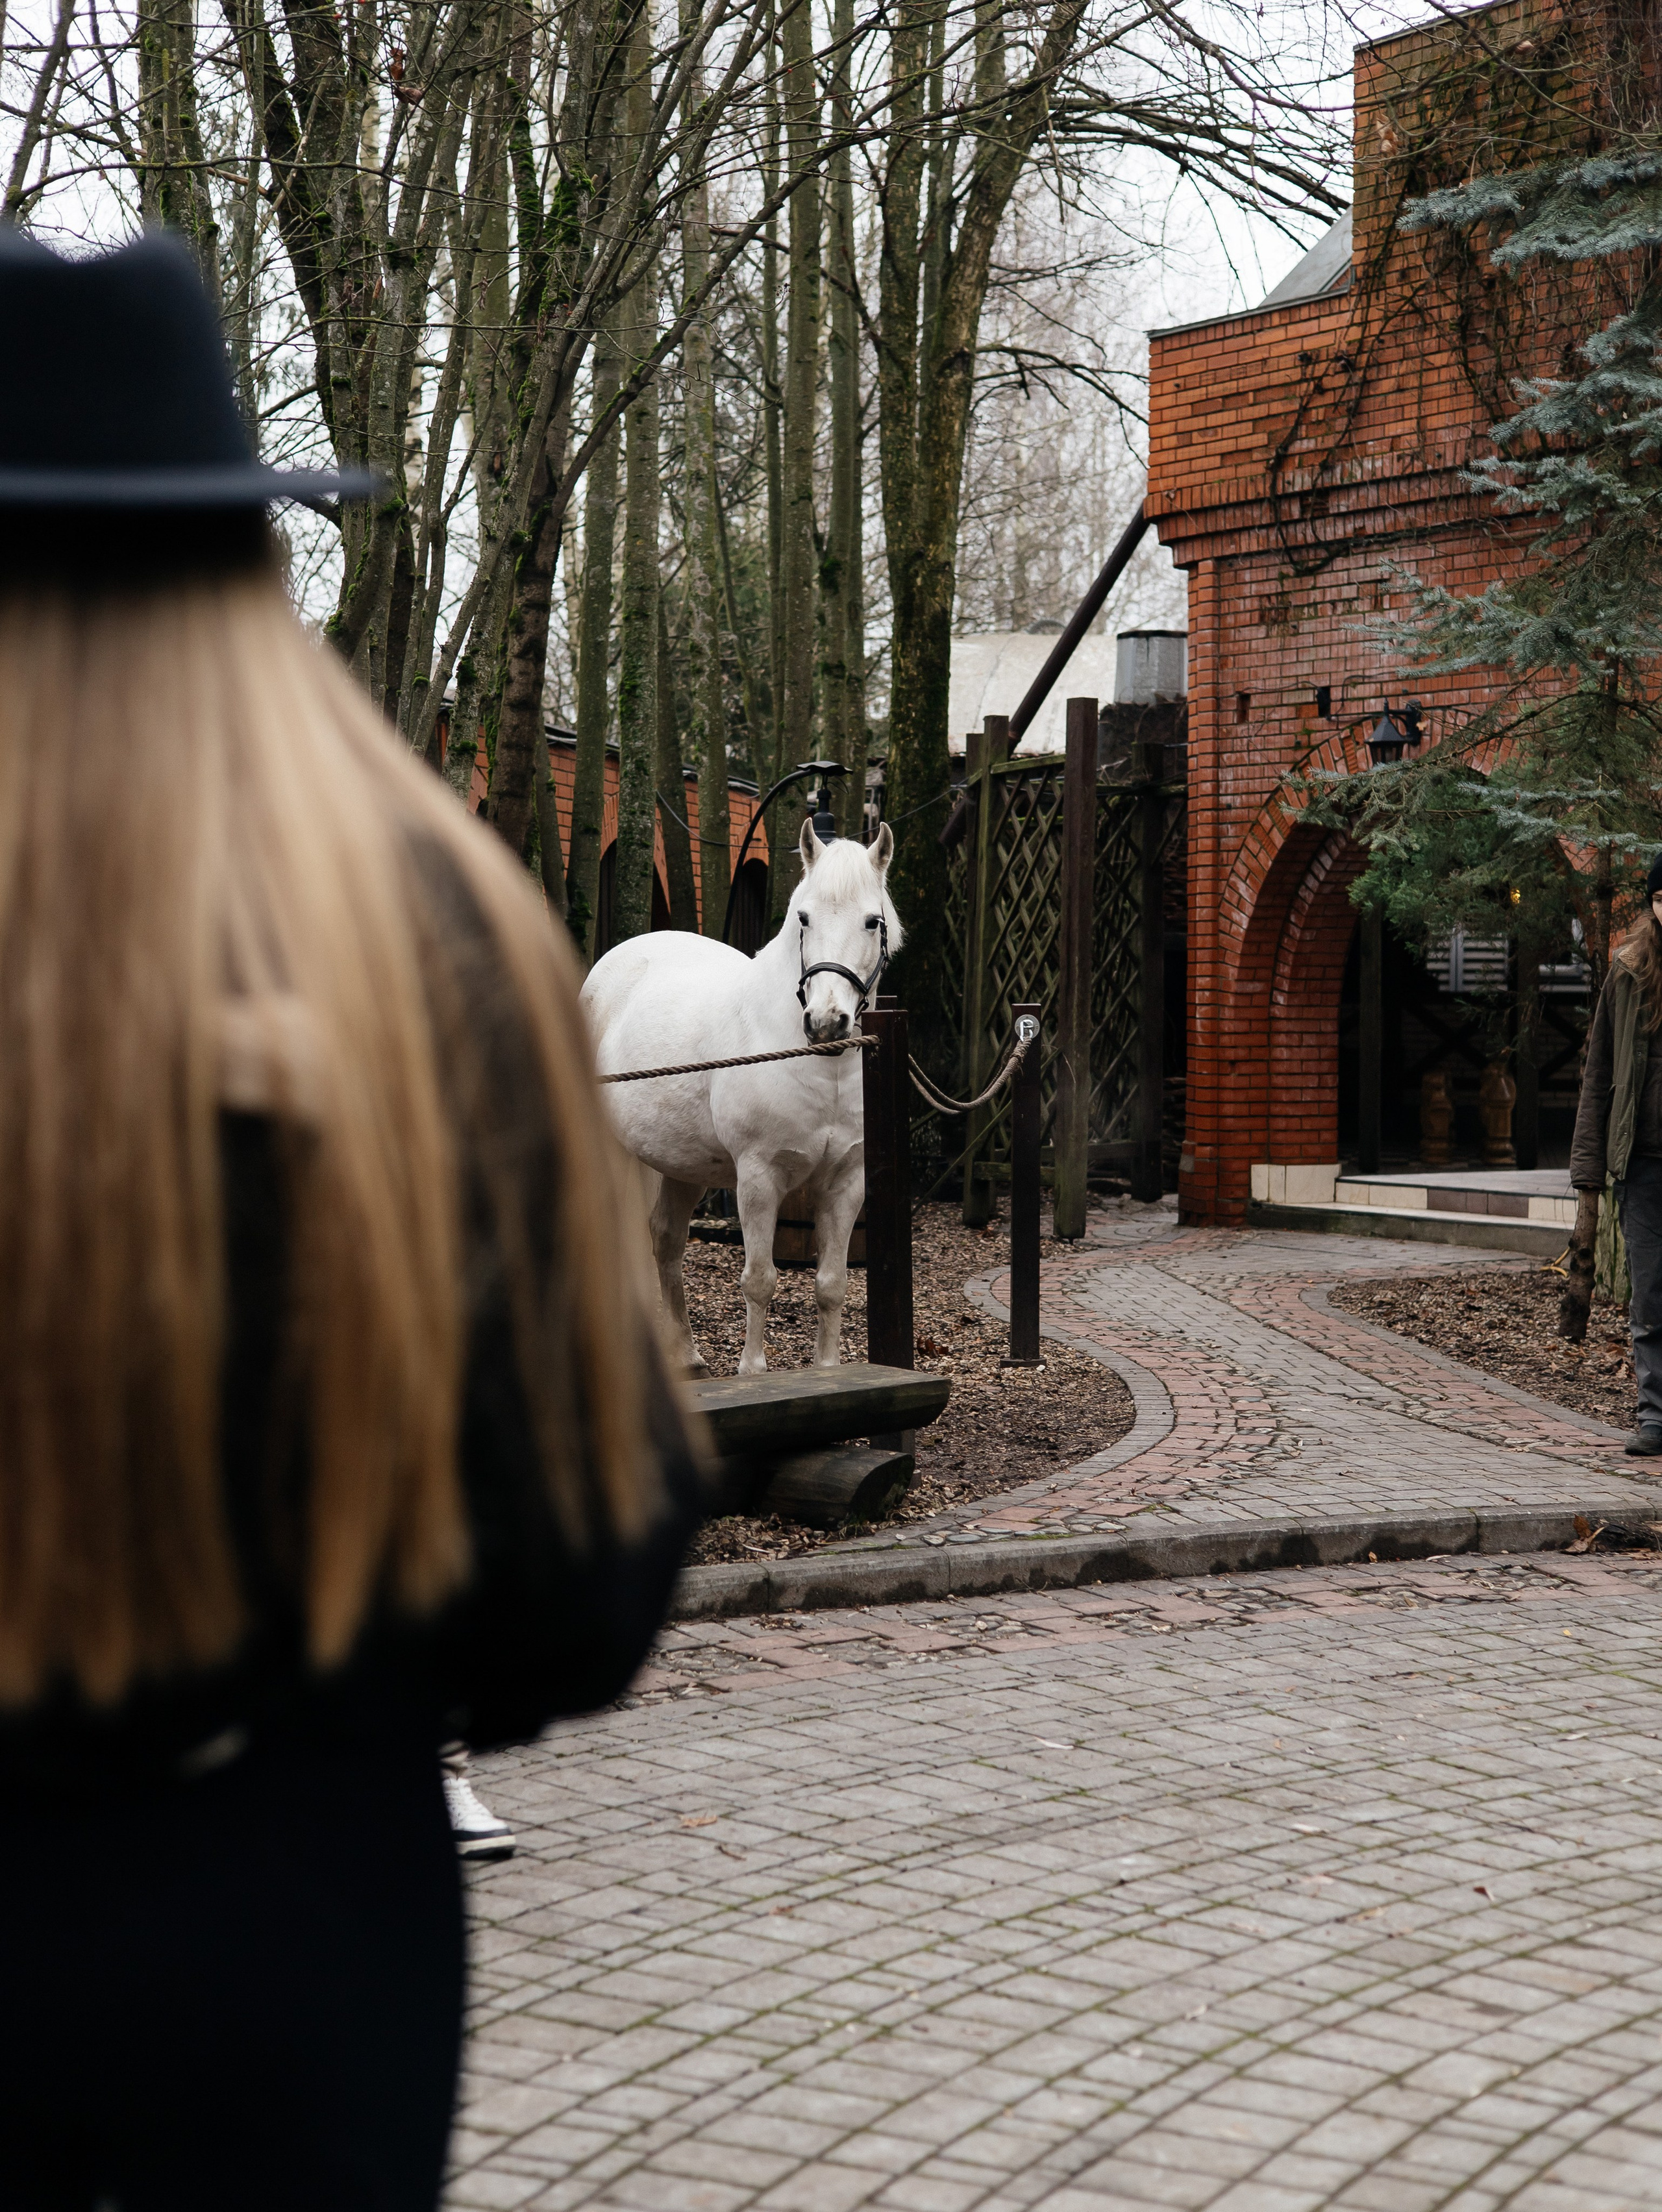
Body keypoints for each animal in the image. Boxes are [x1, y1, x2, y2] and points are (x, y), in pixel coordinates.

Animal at [581, 818, 902, 1375]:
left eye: (871, 921)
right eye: (804, 917)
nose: (826, 1021)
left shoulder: (845, 1183)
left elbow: (832, 1285)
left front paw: (827, 1371)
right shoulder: (758, 1176)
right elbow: (760, 1280)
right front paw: (752, 1374)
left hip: (681, 1165)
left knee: (666, 1242)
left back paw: (687, 1356)